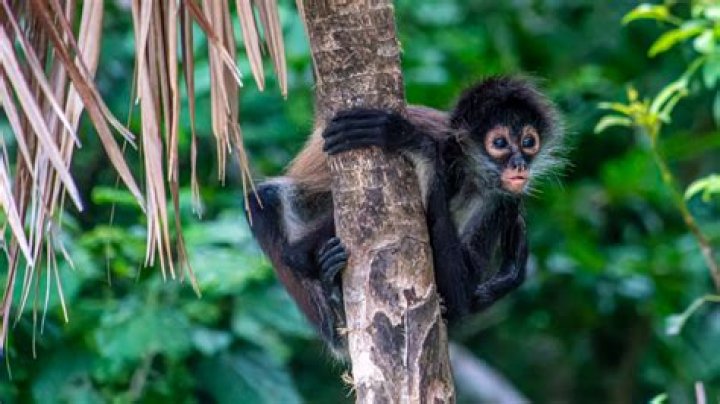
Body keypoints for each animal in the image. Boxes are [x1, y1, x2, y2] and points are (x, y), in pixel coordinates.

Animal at [246, 76, 563, 356]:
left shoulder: (501, 199)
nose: (520, 164)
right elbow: (296, 255)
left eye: (528, 142)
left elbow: (460, 295)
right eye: (499, 143)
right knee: (261, 202)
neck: (467, 172)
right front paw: (411, 139)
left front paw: (409, 139)